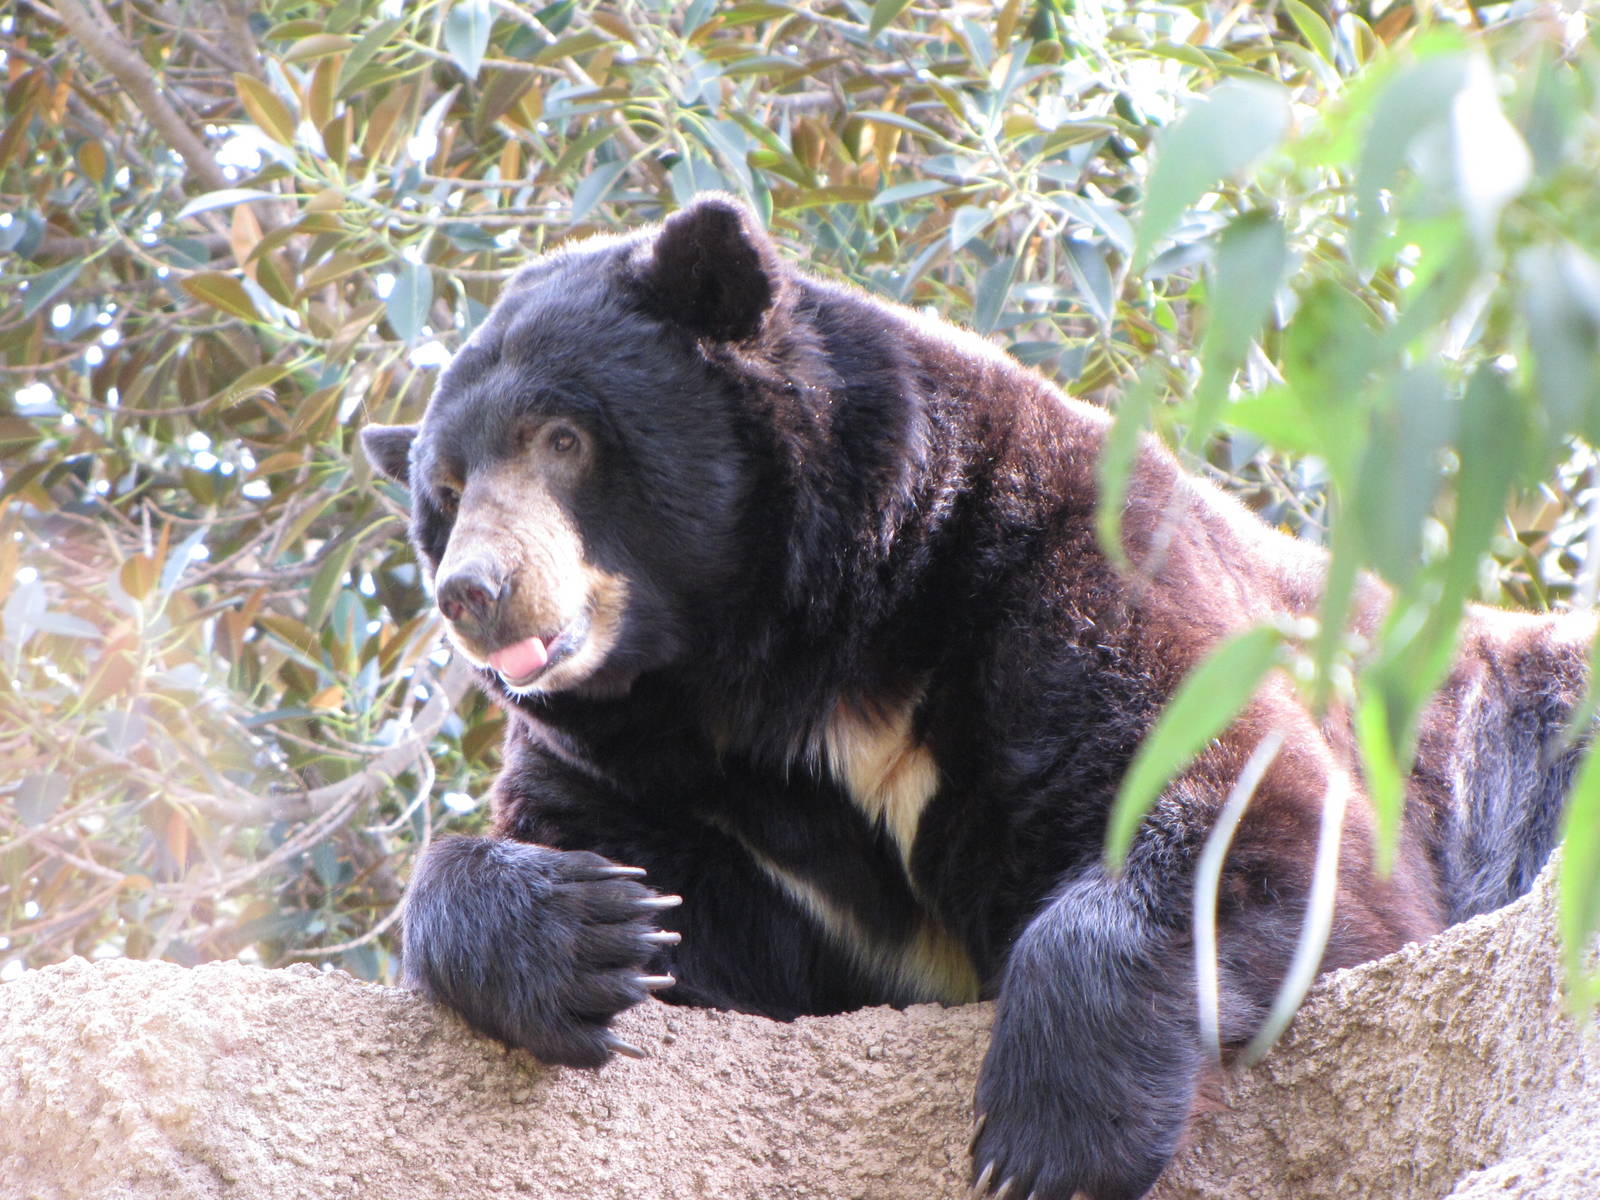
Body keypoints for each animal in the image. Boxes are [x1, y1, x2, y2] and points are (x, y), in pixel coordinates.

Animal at [360, 193, 1589, 1200]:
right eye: (446, 489)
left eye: (561, 438)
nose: (472, 592)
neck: (777, 665)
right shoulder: (664, 777)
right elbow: (664, 905)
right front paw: (596, 930)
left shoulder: (1055, 572)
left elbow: (1270, 818)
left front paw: (1046, 1138)